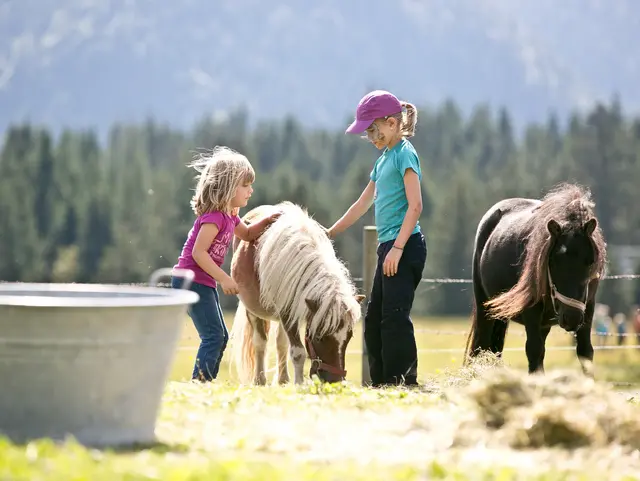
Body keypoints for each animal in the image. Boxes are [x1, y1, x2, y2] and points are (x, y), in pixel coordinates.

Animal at [229, 201, 364, 384]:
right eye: (320, 337)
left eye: (348, 337)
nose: (335, 380)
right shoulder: (287, 311)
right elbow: (298, 352)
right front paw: (299, 384)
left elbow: (288, 346)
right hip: (253, 310)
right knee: (260, 342)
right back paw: (260, 379)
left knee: (280, 343)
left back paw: (282, 379)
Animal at [462, 182, 608, 374]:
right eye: (553, 261)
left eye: (590, 261)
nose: (571, 318)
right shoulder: (532, 310)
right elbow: (533, 350)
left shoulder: (588, 306)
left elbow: (585, 351)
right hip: (485, 308)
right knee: (482, 346)